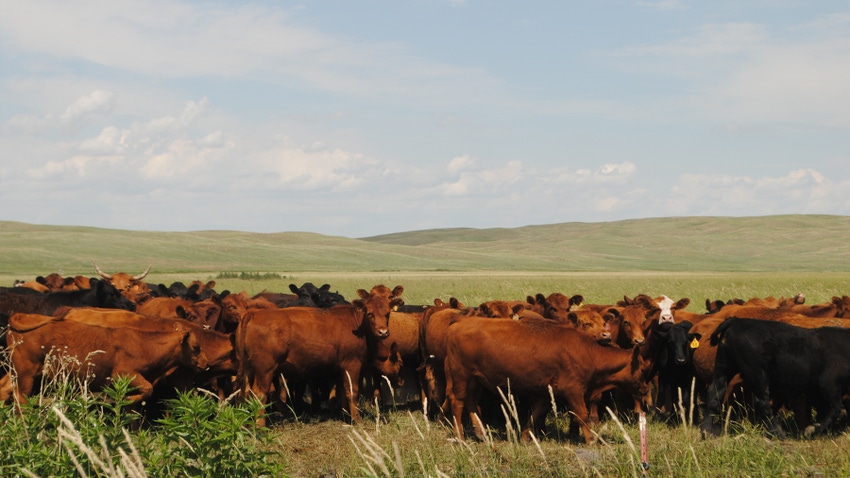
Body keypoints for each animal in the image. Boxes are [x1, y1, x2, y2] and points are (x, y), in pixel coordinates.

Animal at [234, 282, 402, 424]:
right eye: (370, 314)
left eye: (387, 314)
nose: (383, 332)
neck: (358, 326)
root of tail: (253, 314)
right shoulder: (351, 365)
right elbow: (352, 392)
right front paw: (356, 420)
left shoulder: (339, 369)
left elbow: (342, 392)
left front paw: (345, 414)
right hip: (265, 370)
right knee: (259, 394)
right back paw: (259, 425)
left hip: (249, 369)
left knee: (245, 392)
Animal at [440, 318, 644, 444]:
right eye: (643, 369)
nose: (645, 391)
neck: (588, 352)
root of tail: (457, 324)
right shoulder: (573, 390)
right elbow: (582, 415)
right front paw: (591, 440)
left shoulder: (546, 393)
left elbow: (536, 413)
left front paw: (524, 436)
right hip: (461, 376)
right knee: (457, 403)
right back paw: (460, 437)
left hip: (475, 380)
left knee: (470, 401)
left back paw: (481, 433)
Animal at [700, 320, 848, 438]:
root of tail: (736, 321)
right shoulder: (829, 384)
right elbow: (835, 409)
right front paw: (811, 429)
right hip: (758, 374)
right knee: (762, 402)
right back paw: (777, 433)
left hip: (724, 368)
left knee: (715, 394)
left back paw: (707, 430)